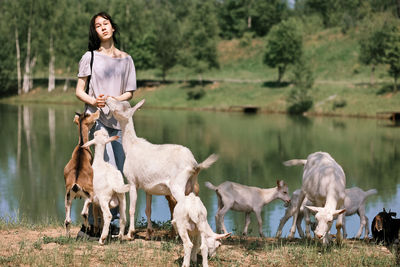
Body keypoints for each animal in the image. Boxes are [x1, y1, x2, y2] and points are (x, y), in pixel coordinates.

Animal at [105, 98, 219, 241]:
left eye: (122, 106)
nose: (107, 99)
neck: (131, 146)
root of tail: (194, 165)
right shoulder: (148, 188)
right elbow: (148, 210)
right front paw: (149, 233)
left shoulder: (132, 181)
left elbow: (132, 209)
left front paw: (129, 234)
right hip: (192, 186)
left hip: (177, 186)